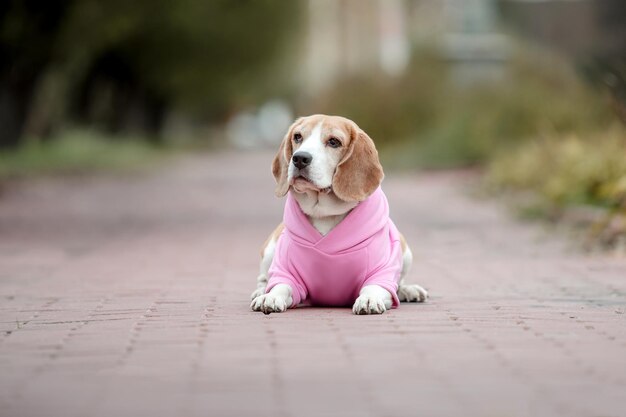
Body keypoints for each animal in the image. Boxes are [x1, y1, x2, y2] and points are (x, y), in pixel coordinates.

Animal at [251, 113, 426, 312]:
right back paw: (261, 290)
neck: (325, 215)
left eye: (334, 142)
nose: (299, 158)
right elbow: (281, 286)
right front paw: (270, 296)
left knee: (399, 282)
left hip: (406, 251)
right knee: (263, 278)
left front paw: (369, 299)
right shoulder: (286, 272)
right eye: (297, 137)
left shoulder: (383, 273)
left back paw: (407, 290)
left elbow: (374, 287)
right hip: (270, 249)